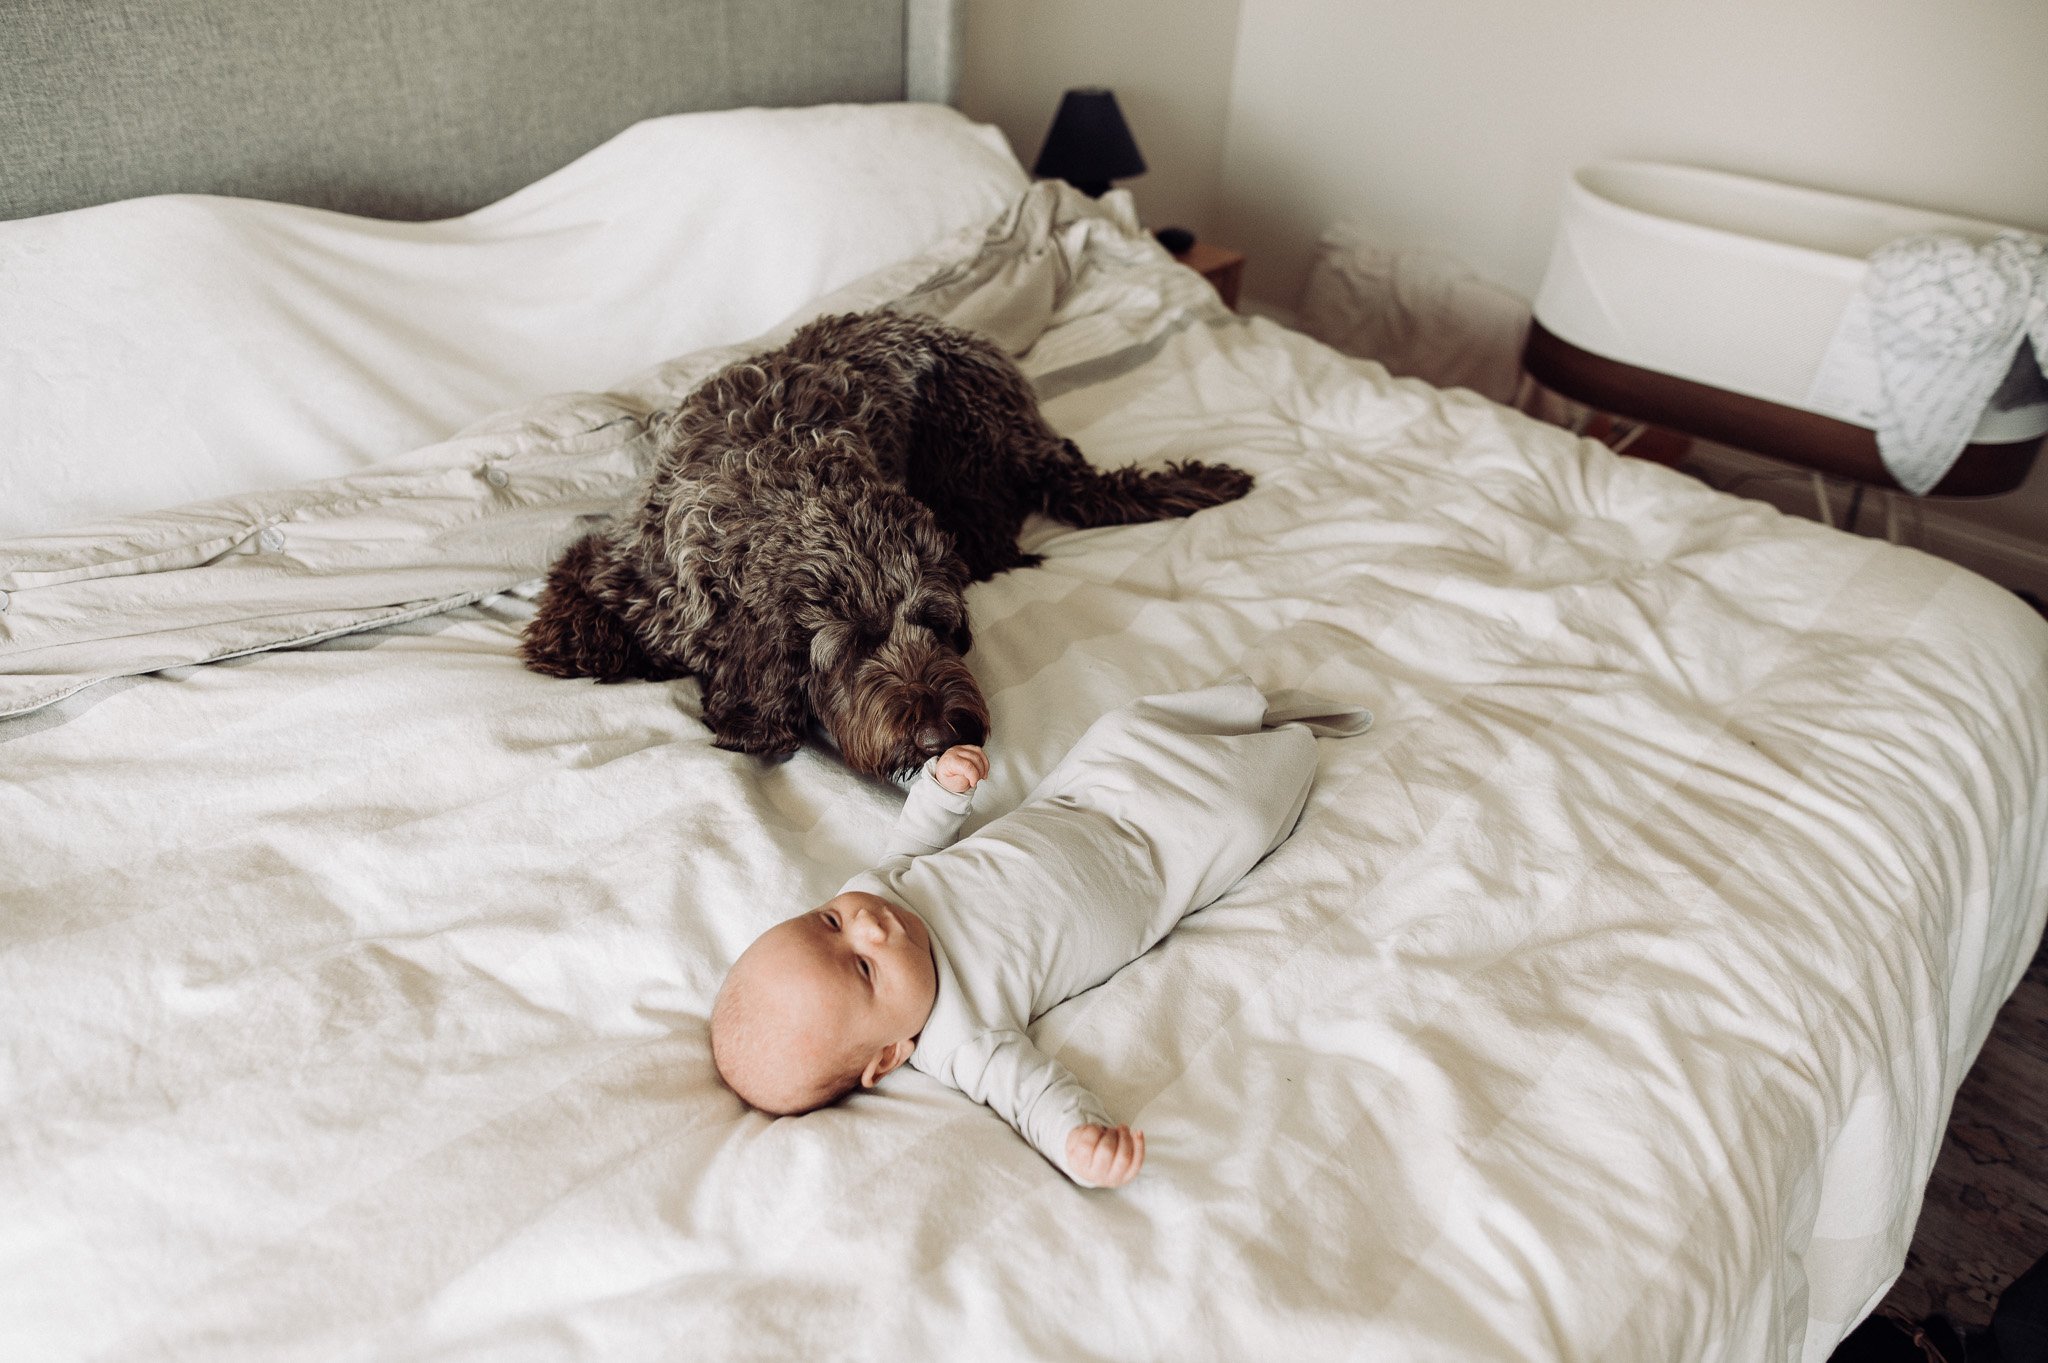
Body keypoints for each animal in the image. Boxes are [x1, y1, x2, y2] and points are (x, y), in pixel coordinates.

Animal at [520, 306, 1253, 773]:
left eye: (938, 624)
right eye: (852, 646)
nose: (939, 736)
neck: (781, 482)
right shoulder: (622, 565)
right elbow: (571, 620)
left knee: (996, 538)